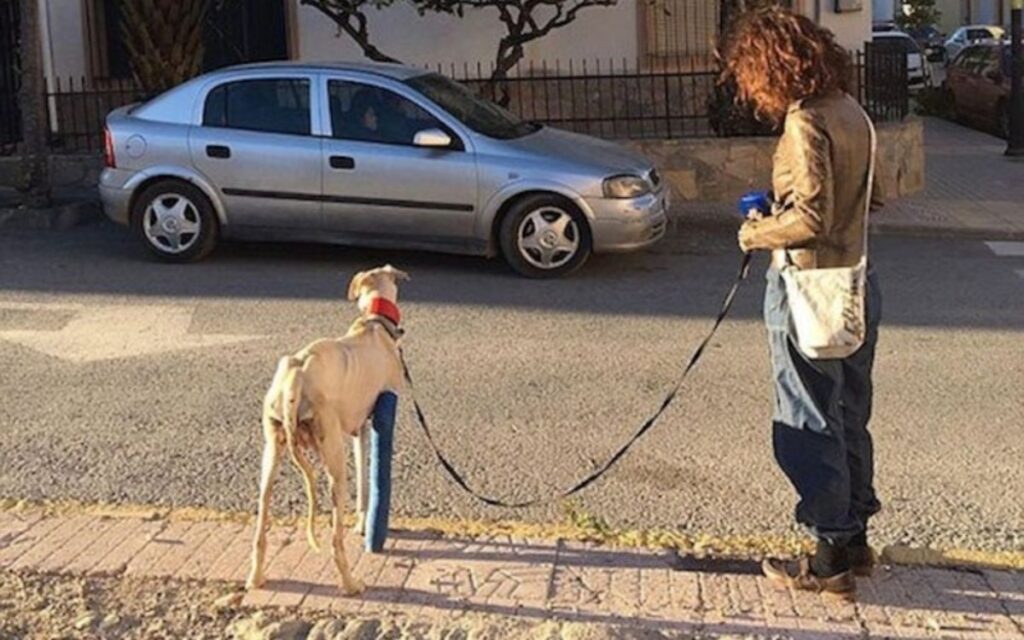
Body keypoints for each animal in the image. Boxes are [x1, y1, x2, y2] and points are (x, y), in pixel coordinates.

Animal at [246, 264, 407, 593]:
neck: (373, 324)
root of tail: (295, 377)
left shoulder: (359, 429)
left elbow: (363, 478)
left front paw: (361, 522)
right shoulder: (375, 421)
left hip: (272, 453)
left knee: (260, 521)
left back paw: (255, 577)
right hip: (333, 456)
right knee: (335, 542)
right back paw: (350, 583)